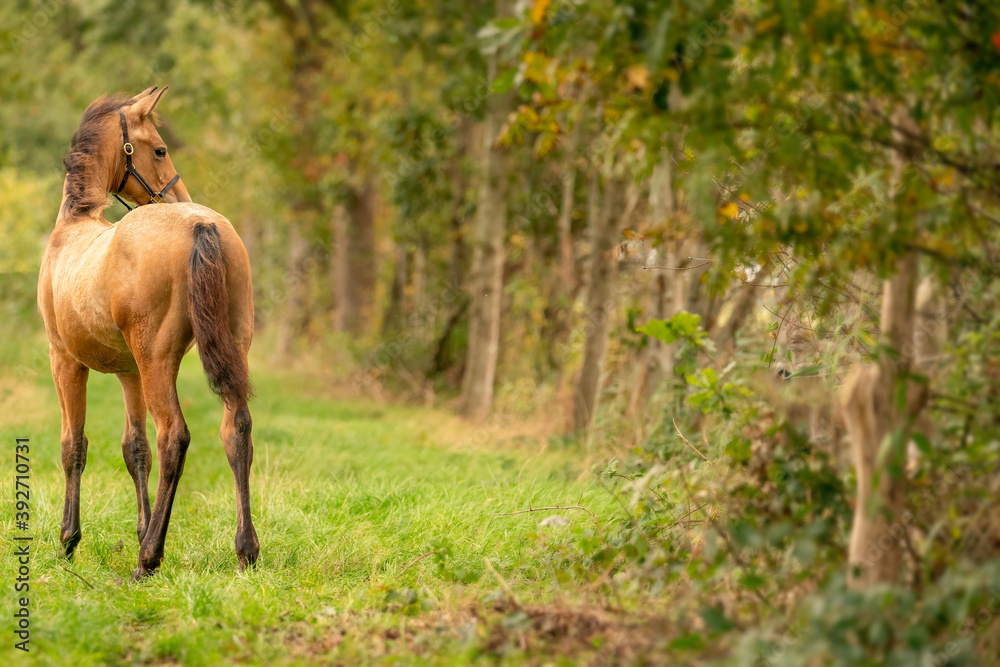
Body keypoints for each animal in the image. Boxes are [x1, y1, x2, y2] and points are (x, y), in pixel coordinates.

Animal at [37, 86, 259, 579]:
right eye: (159, 149)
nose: (178, 194)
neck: (73, 229)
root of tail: (201, 224)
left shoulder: (65, 361)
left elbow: (73, 445)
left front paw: (68, 539)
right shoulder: (128, 371)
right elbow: (134, 448)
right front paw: (138, 528)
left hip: (157, 361)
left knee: (173, 436)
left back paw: (149, 558)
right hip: (229, 349)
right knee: (236, 428)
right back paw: (246, 550)